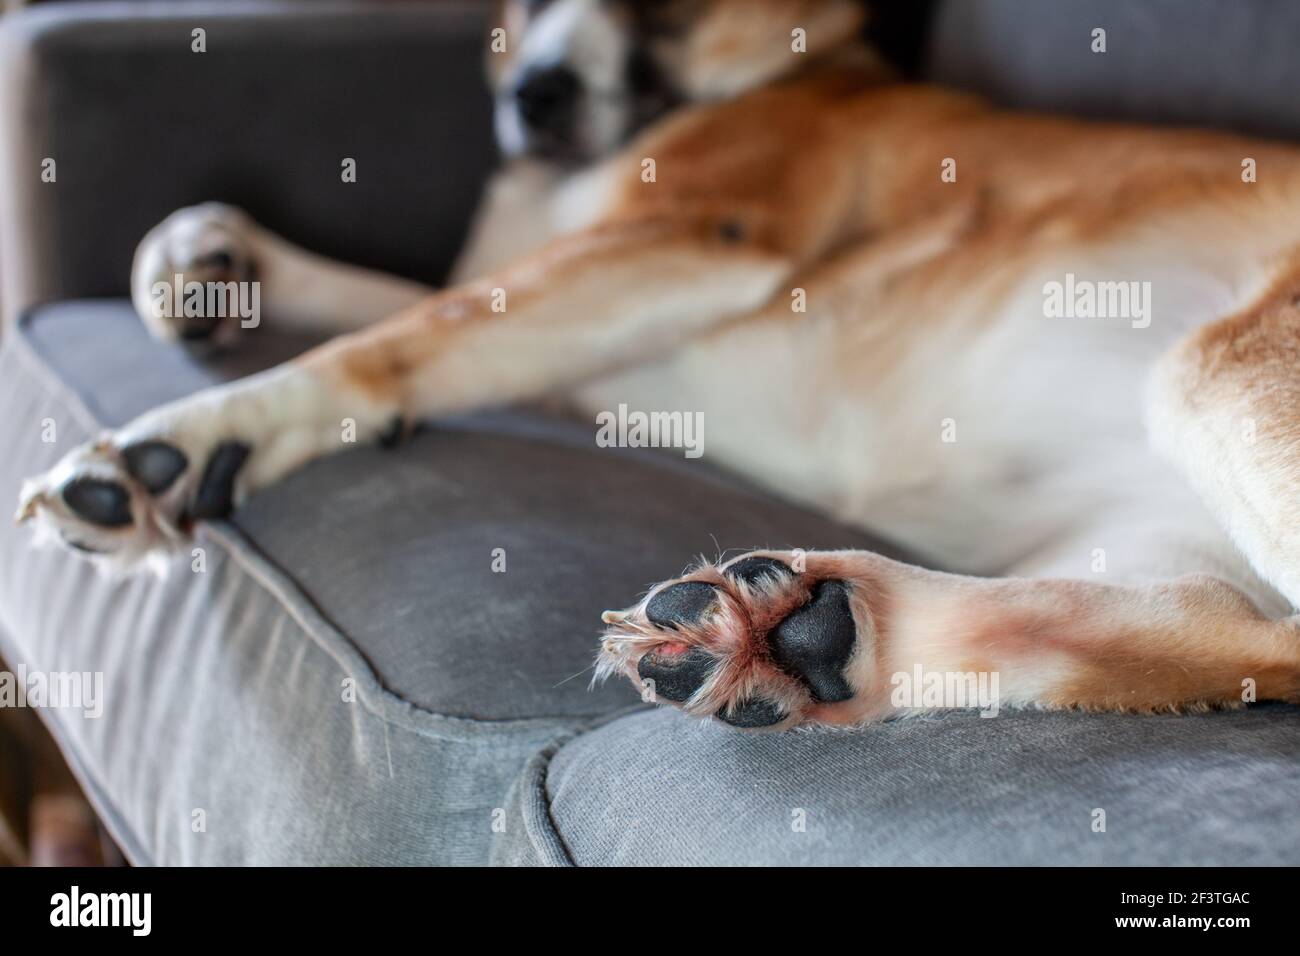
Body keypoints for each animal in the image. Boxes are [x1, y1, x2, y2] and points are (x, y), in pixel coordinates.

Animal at [10, 1, 1300, 733]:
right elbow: (419, 304)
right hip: (1150, 525)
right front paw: (206, 259)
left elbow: (405, 333)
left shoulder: (693, 239)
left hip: (1220, 366)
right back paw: (799, 635)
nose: (532, 97)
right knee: (1226, 630)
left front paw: (181, 436)